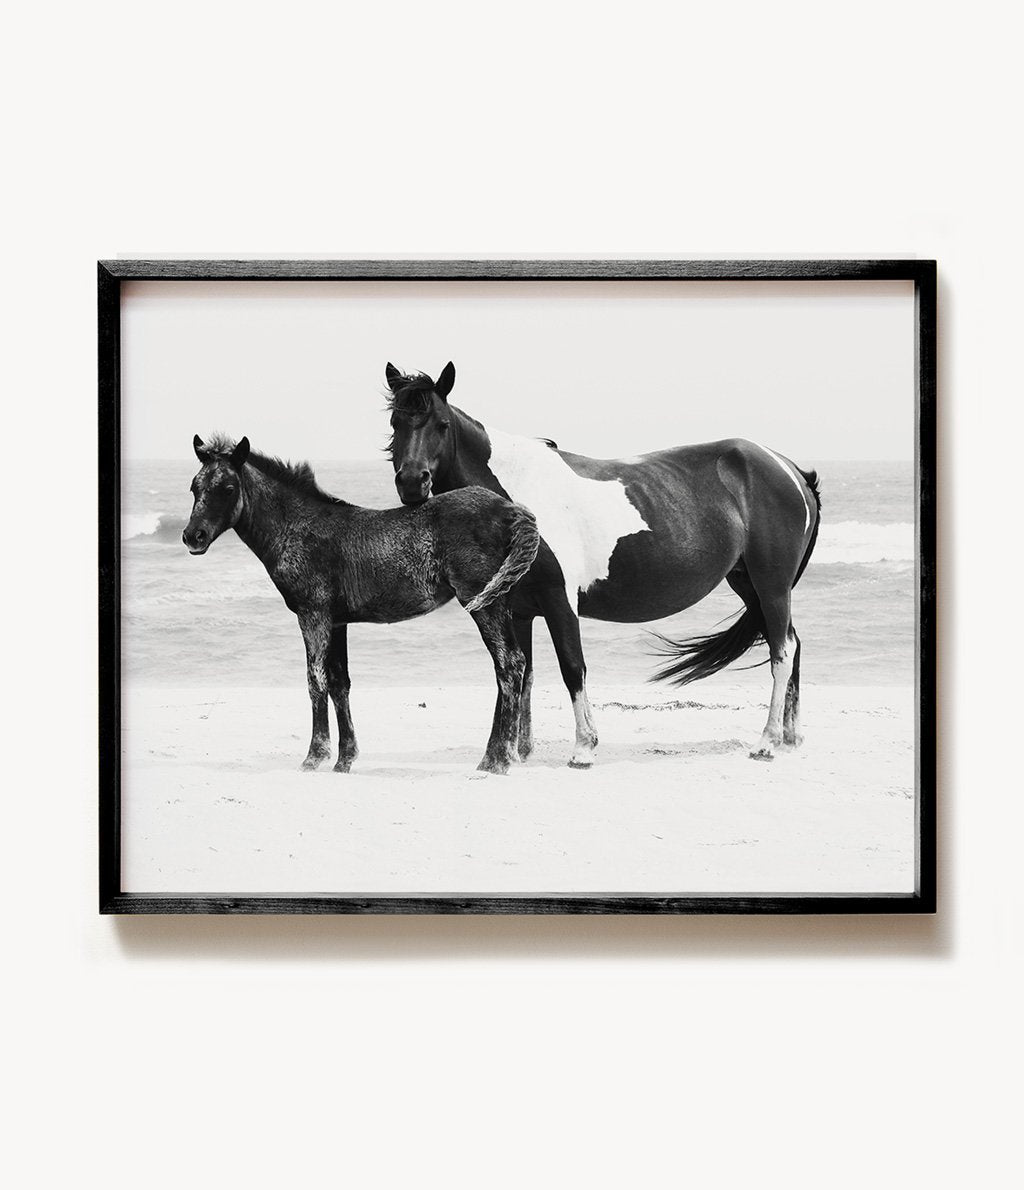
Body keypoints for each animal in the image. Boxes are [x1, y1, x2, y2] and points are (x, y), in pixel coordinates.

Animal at [183, 434, 539, 774]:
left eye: (228, 488)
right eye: (194, 487)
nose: (192, 537)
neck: (298, 528)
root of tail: (510, 510)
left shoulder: (313, 615)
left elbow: (315, 680)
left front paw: (314, 757)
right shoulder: (337, 621)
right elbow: (340, 684)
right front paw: (344, 759)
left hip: (484, 603)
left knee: (509, 664)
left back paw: (498, 760)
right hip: (498, 600)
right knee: (510, 665)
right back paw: (495, 756)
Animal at [384, 362, 822, 766]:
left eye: (441, 424)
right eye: (395, 423)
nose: (412, 483)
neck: (518, 497)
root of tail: (791, 470)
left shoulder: (560, 601)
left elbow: (571, 667)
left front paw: (583, 748)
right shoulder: (518, 609)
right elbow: (523, 673)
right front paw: (519, 751)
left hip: (771, 586)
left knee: (782, 650)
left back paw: (766, 743)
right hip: (749, 585)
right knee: (793, 644)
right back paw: (791, 738)